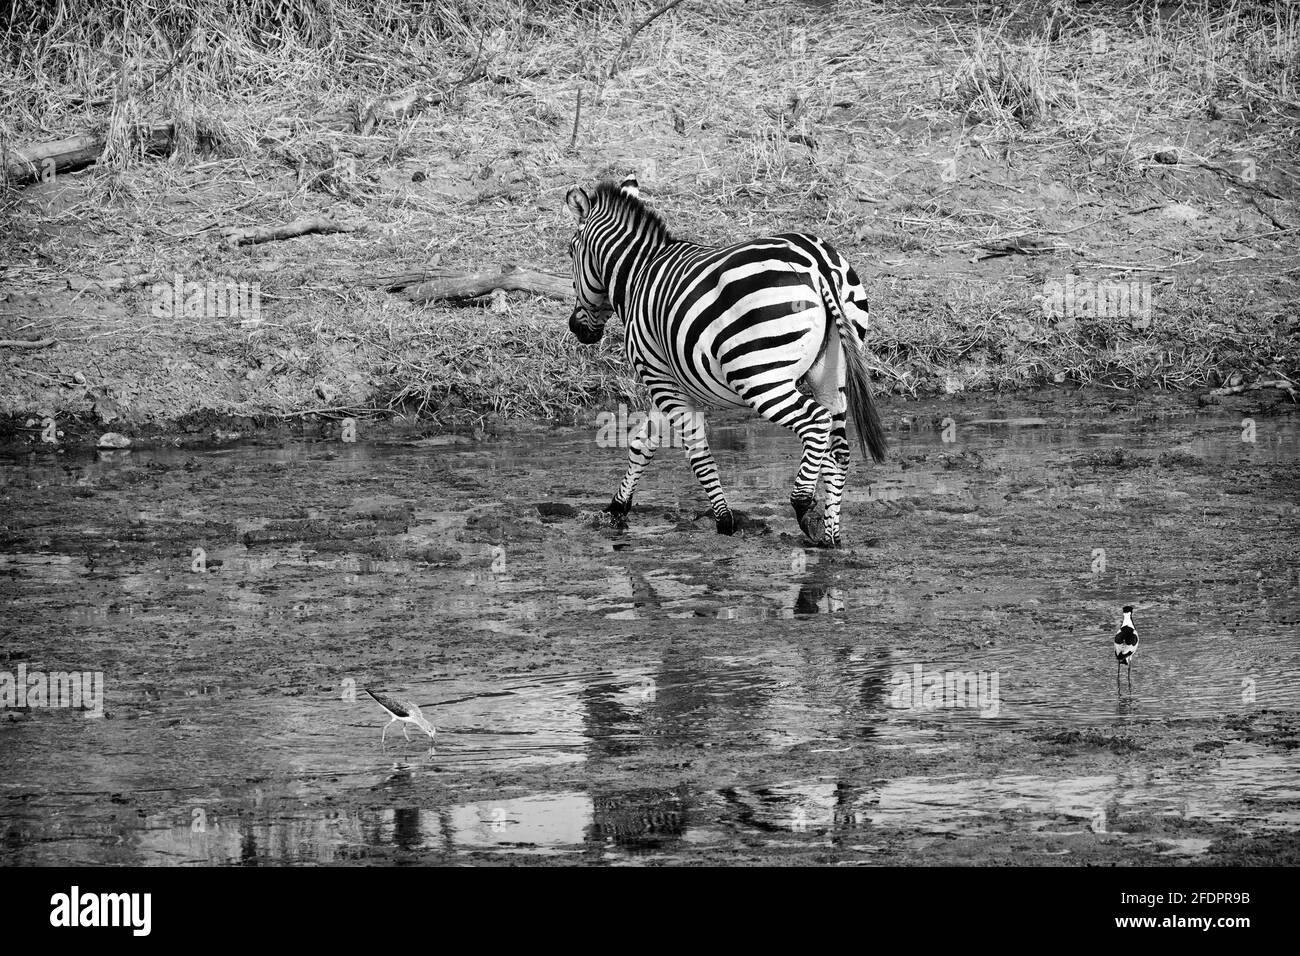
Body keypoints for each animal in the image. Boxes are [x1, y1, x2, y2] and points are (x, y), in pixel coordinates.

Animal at [564, 174, 889, 546]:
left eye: (570, 251)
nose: (576, 327)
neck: (639, 272)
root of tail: (818, 263)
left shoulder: (658, 376)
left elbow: (697, 451)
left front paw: (724, 521)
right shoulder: (667, 380)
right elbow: (643, 445)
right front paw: (618, 509)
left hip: (759, 377)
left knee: (816, 423)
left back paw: (804, 507)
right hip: (830, 371)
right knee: (839, 449)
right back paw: (830, 536)